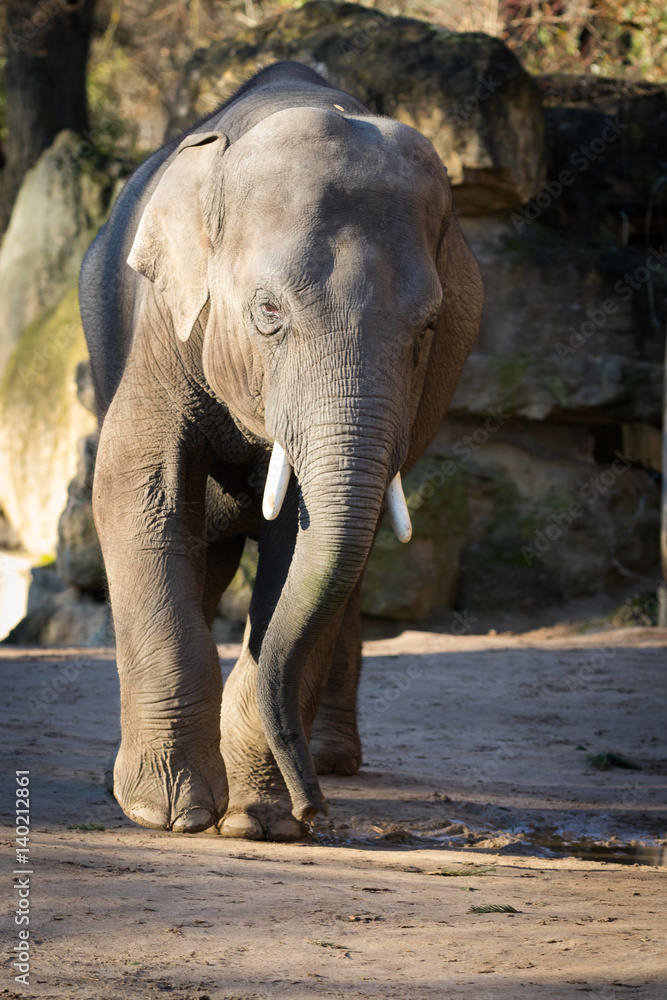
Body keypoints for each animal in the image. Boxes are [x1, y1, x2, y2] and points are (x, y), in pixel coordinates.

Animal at [80, 60, 483, 841]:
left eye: (428, 327)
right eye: (268, 311)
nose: (313, 811)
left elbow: (301, 551)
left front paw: (255, 822)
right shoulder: (163, 324)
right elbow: (137, 489)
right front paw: (169, 814)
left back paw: (328, 760)